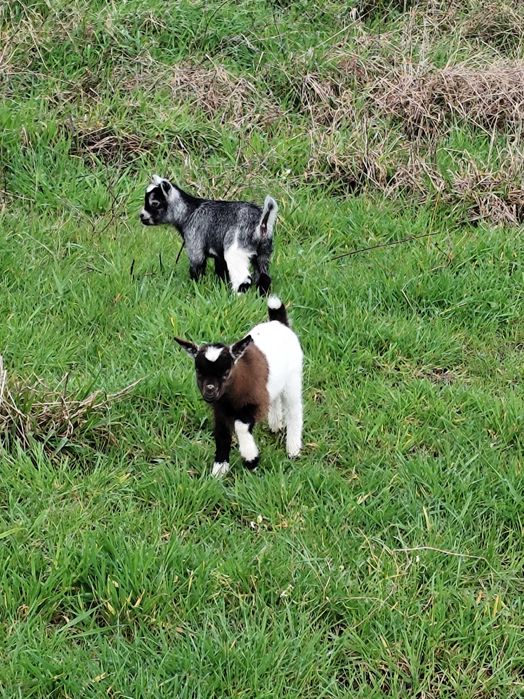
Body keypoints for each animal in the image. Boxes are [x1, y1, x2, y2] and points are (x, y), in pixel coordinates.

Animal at [140, 175, 278, 295]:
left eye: (155, 203)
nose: (141, 216)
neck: (189, 212)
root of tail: (262, 223)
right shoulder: (220, 255)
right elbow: (221, 272)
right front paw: (220, 288)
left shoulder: (195, 245)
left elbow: (197, 269)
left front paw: (195, 288)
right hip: (264, 252)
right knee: (264, 277)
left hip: (237, 249)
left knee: (243, 278)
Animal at [175, 297, 303, 477]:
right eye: (198, 371)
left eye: (226, 372)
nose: (210, 390)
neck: (230, 397)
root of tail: (279, 322)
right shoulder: (220, 410)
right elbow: (221, 434)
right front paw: (219, 470)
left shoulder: (254, 403)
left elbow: (241, 426)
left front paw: (251, 459)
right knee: (275, 399)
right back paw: (275, 425)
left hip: (293, 378)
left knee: (294, 410)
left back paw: (293, 450)